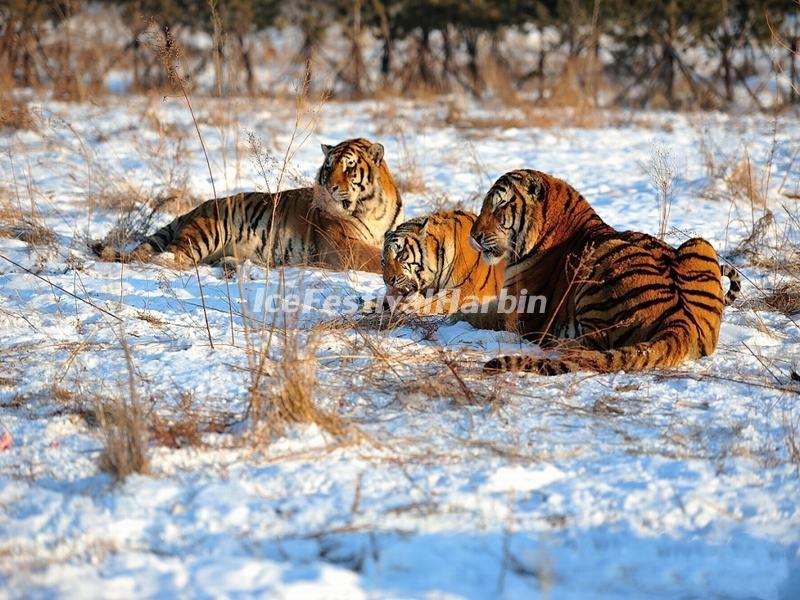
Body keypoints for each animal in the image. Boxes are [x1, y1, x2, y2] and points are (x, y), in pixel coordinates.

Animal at [91, 138, 404, 272]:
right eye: (328, 168)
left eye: (349, 168)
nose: (329, 187)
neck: (373, 208)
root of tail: (193, 209)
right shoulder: (342, 246)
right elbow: (373, 256)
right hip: (207, 233)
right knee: (165, 258)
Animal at [372, 210, 504, 314]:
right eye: (383, 261)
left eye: (400, 255)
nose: (388, 281)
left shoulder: (467, 289)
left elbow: (436, 301)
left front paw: (407, 306)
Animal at [462, 169, 744, 376]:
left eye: (499, 207)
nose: (473, 236)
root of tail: (681, 323)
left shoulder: (520, 312)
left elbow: (479, 314)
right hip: (698, 244)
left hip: (603, 261)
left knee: (591, 344)